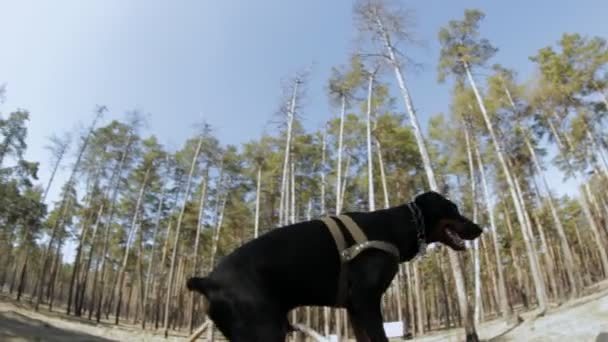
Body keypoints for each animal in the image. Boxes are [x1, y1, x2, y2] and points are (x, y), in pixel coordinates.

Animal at [188, 191, 482, 340]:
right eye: (454, 208)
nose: (480, 228)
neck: (395, 227)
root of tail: (207, 282)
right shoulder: (366, 301)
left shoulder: (354, 308)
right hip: (262, 329)